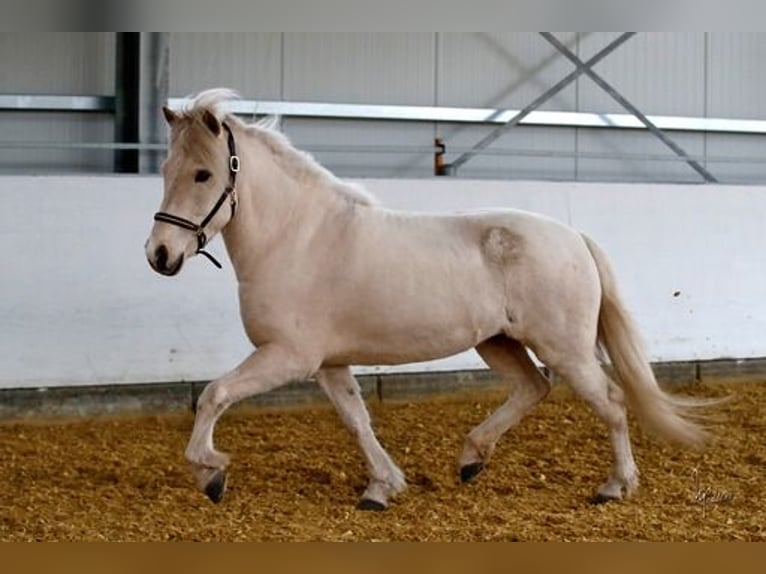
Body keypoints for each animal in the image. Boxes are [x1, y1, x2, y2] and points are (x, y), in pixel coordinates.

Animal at [145, 88, 713, 510]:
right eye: (167, 170)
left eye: (203, 174)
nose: (160, 254)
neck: (297, 237)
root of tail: (574, 237)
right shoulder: (328, 364)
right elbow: (357, 421)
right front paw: (382, 488)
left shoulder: (288, 357)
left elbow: (214, 394)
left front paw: (211, 474)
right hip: (499, 342)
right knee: (533, 388)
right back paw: (471, 459)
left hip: (564, 348)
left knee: (611, 402)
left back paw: (615, 487)